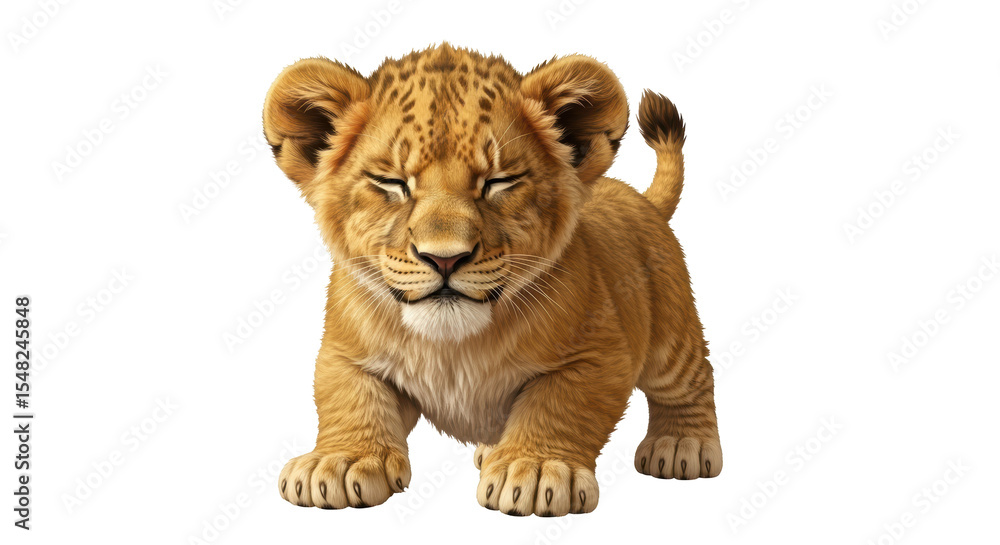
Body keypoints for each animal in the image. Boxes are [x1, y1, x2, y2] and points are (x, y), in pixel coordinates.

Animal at [263, 43, 722, 516]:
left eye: (499, 182)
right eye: (391, 182)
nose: (445, 258)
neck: (451, 346)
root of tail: (634, 194)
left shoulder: (599, 354)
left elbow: (560, 404)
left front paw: (535, 470)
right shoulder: (345, 352)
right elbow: (348, 396)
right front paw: (340, 460)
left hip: (670, 335)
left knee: (692, 377)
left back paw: (680, 444)